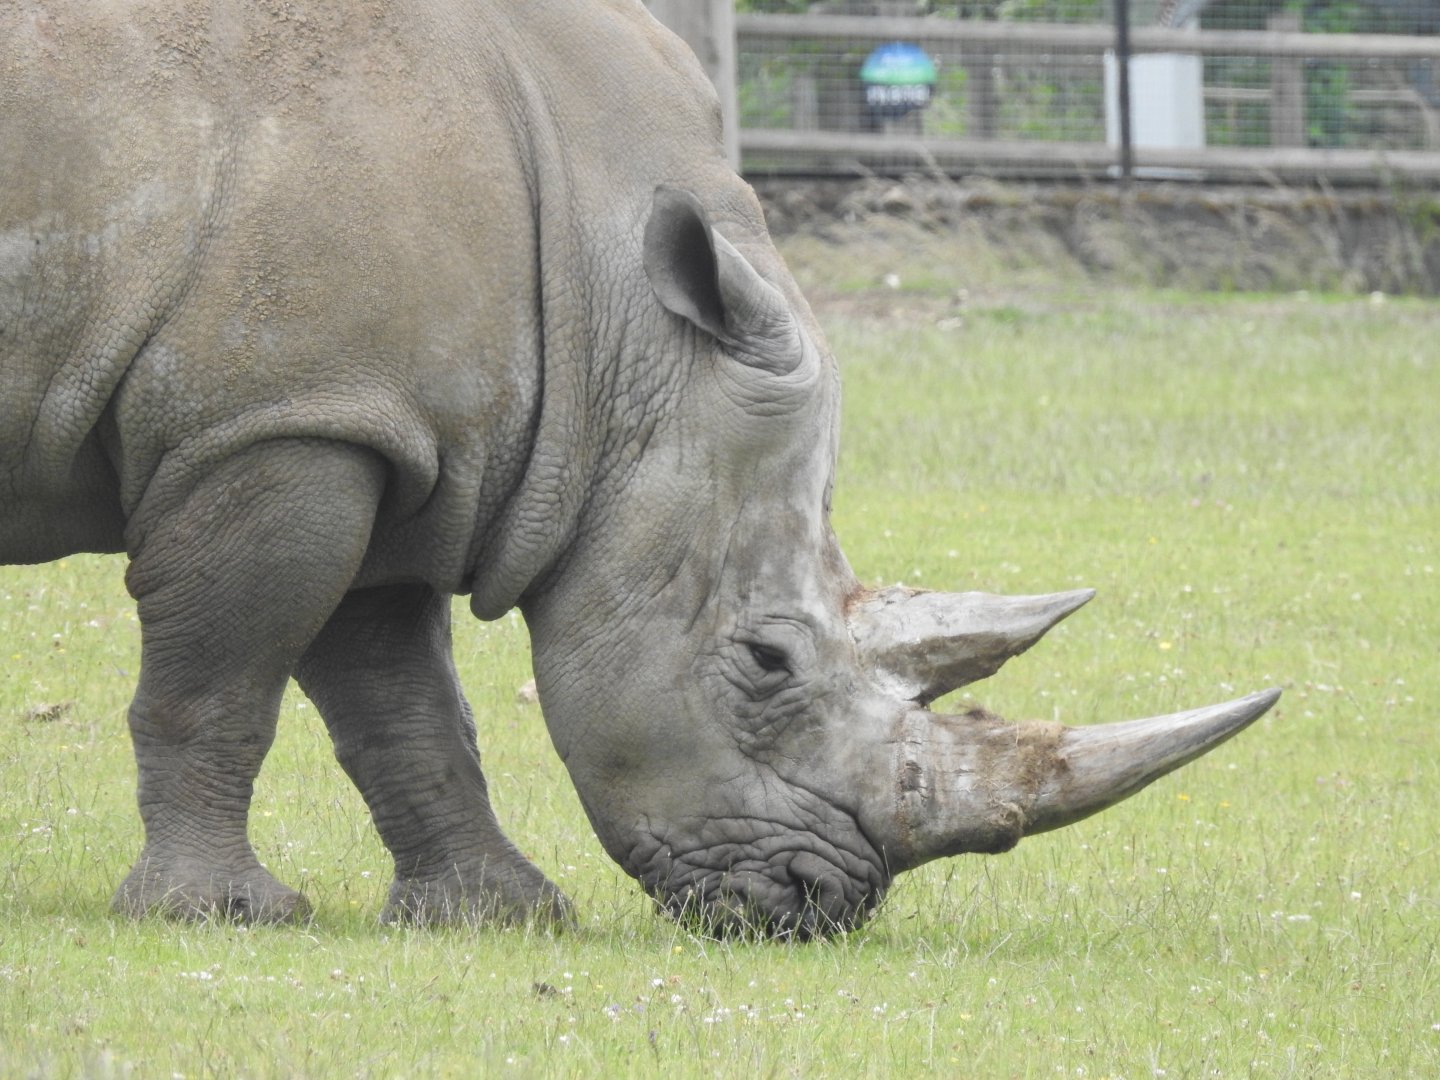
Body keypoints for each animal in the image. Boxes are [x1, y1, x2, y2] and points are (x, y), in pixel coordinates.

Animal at [1, 0, 1279, 938]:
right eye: (766, 663)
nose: (817, 906)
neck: (613, 299)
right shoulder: (274, 420)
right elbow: (223, 676)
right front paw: (216, 915)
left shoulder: (382, 428)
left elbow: (401, 702)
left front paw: (503, 918)